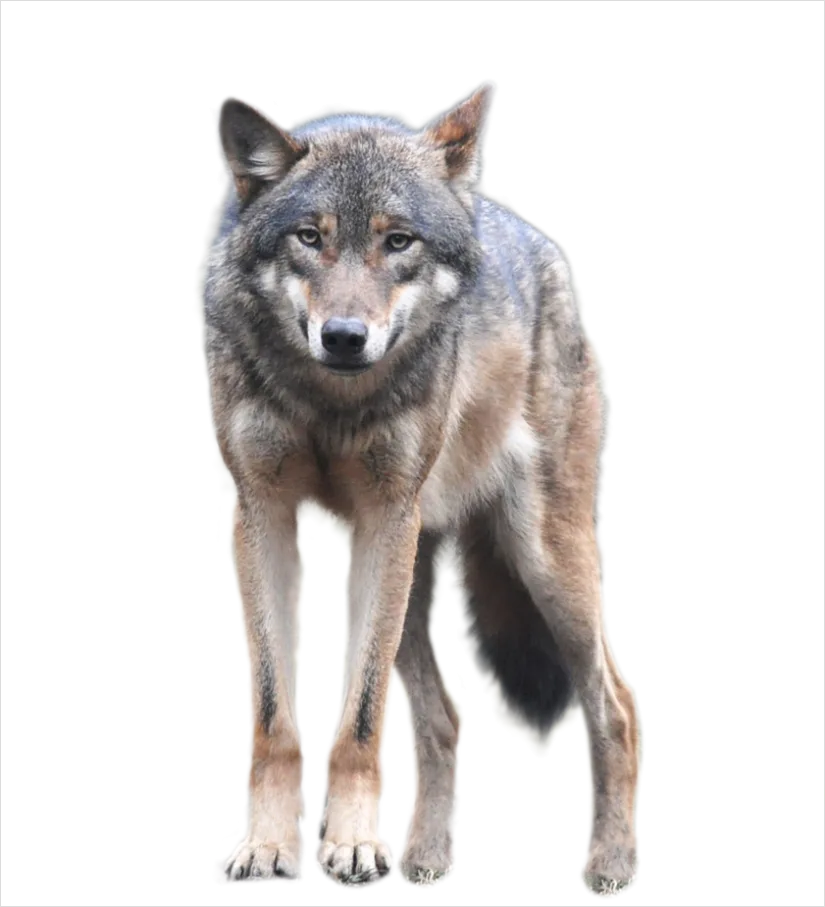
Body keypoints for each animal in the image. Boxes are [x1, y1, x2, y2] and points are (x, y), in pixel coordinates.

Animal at [206, 83, 641, 891]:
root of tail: (529, 239)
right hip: (412, 576)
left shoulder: (384, 518)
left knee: (614, 703)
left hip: (537, 556)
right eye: (309, 238)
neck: (333, 403)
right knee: (443, 722)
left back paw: (610, 864)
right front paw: (269, 847)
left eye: (398, 241)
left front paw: (349, 846)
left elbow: (360, 719)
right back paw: (426, 860)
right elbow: (276, 718)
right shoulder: (261, 514)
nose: (344, 336)